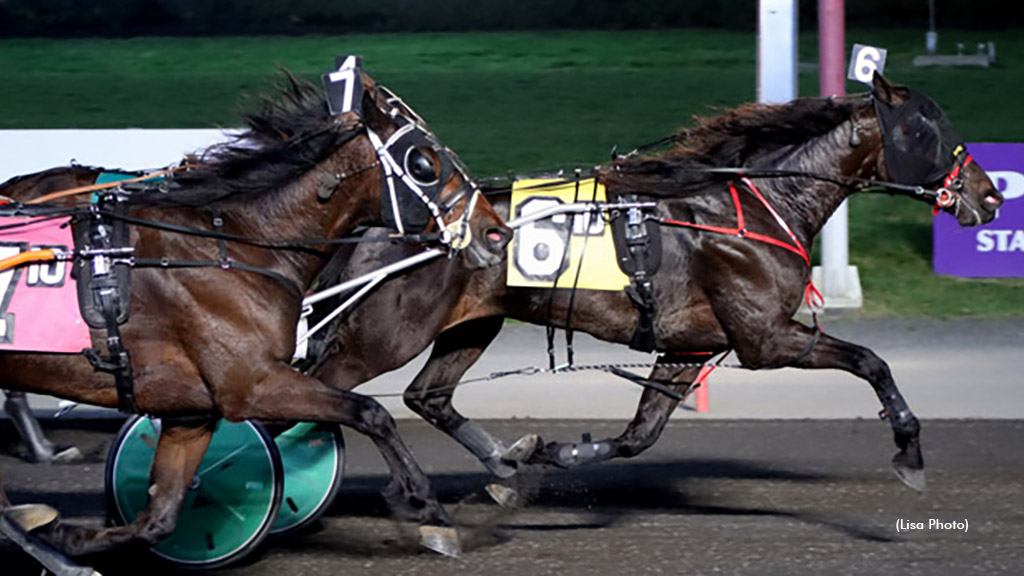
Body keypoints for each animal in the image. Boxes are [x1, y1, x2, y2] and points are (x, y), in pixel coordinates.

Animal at [0, 69, 509, 561]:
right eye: (424, 162)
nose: (496, 232)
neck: (236, 245)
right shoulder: (252, 384)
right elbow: (370, 411)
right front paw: (425, 504)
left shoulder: (191, 410)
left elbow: (157, 519)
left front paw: (69, 538)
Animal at [307, 70, 1003, 483]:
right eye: (923, 130)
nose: (991, 195)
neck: (752, 206)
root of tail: (379, 223)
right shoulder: (767, 339)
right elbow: (870, 361)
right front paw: (909, 449)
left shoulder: (688, 345)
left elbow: (640, 434)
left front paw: (556, 452)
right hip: (384, 336)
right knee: (329, 394)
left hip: (470, 324)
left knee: (427, 397)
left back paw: (505, 466)